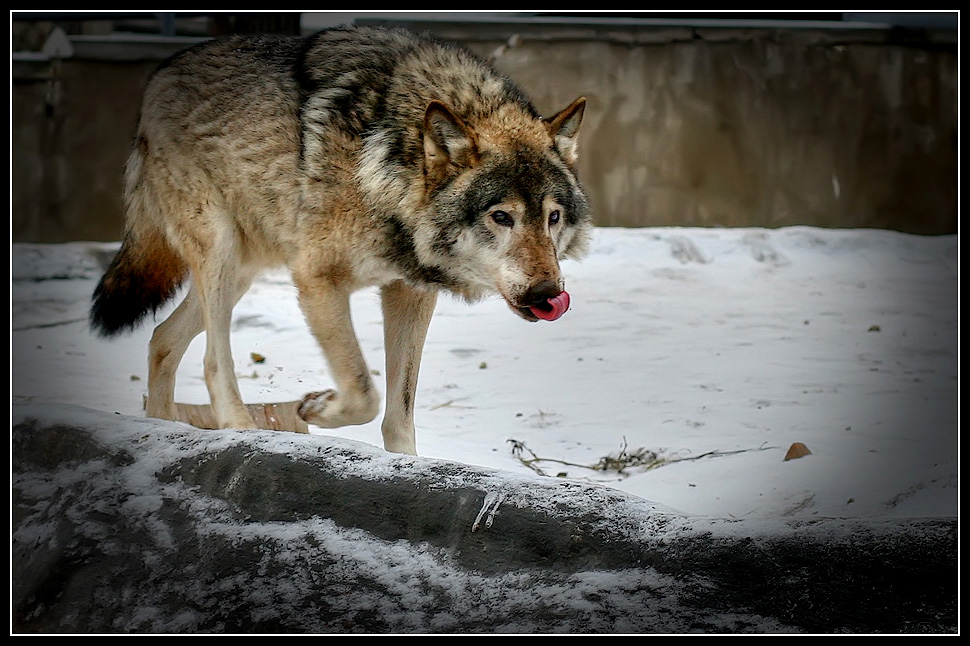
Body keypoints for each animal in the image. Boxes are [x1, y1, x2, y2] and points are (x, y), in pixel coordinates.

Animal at [91, 25, 588, 456]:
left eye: (553, 218)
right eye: (501, 216)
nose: (549, 294)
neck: (388, 167)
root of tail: (158, 78)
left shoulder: (410, 292)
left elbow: (399, 410)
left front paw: (406, 463)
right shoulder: (316, 280)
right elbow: (365, 391)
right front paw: (316, 409)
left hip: (240, 273)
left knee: (161, 339)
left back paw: (161, 428)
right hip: (221, 252)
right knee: (214, 362)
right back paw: (239, 428)